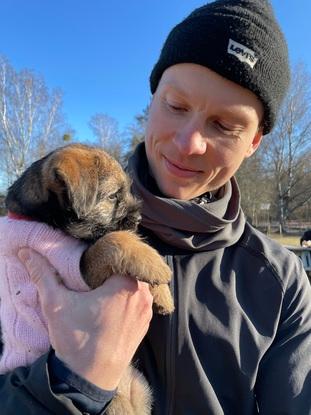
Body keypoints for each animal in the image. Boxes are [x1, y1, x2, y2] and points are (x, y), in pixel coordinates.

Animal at [0, 144, 176, 415]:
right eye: (112, 196)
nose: (138, 220)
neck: (44, 218)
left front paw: (163, 295)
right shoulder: (79, 270)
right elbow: (110, 241)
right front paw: (155, 265)